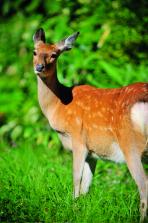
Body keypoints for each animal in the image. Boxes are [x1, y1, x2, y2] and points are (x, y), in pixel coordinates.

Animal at [33, 27, 147, 221]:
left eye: (54, 55)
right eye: (34, 52)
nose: (39, 67)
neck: (58, 106)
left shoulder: (78, 139)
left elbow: (76, 179)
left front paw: (71, 211)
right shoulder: (93, 152)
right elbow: (86, 186)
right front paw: (80, 212)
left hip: (130, 145)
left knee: (144, 185)